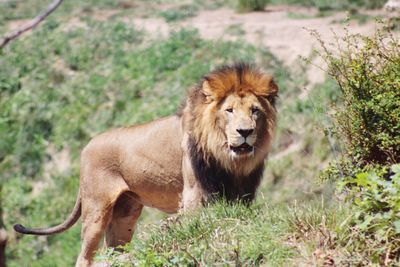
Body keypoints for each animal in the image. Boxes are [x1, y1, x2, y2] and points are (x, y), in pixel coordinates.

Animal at [13, 63, 278, 267]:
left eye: (255, 111)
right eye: (229, 110)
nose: (245, 132)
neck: (228, 159)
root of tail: (87, 146)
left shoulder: (243, 190)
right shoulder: (193, 191)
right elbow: (196, 222)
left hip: (125, 213)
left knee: (114, 250)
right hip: (96, 208)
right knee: (84, 256)